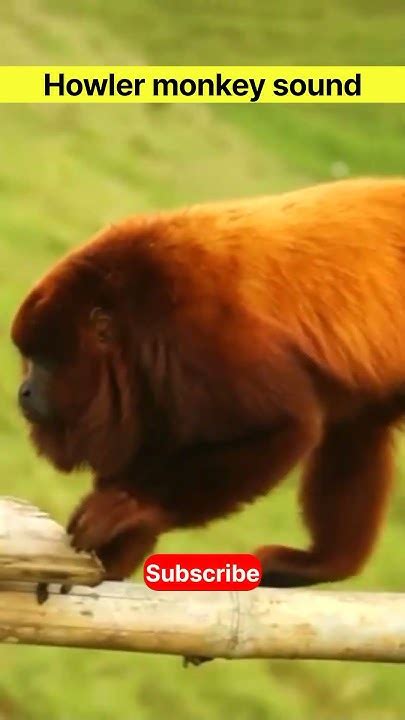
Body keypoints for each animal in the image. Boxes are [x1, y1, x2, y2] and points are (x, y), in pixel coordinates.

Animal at [11, 176, 405, 590]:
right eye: (28, 358)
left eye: (46, 361)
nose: (24, 391)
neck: (132, 317)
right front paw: (111, 559)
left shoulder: (201, 333)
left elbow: (287, 426)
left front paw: (133, 507)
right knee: (358, 430)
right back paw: (324, 564)